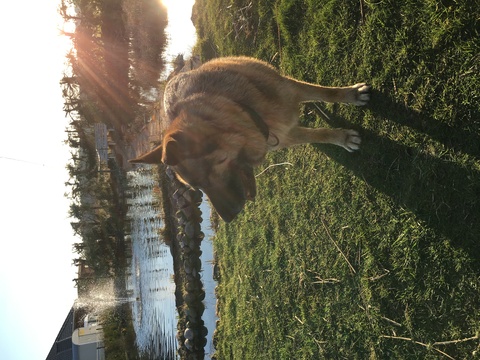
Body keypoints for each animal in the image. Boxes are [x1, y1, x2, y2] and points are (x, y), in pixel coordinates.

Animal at [129, 56, 370, 222]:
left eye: (216, 166)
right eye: (197, 187)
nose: (228, 218)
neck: (244, 110)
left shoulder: (290, 89)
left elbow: (326, 93)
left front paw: (350, 95)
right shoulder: (285, 135)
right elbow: (318, 135)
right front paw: (342, 137)